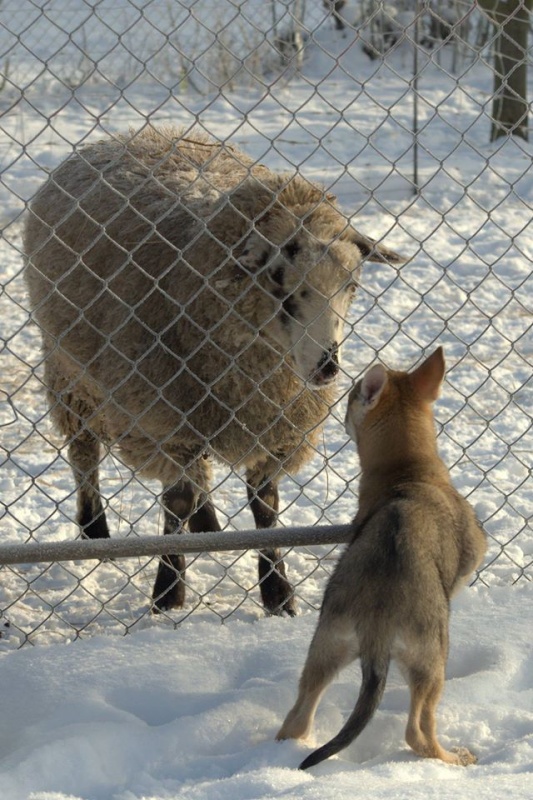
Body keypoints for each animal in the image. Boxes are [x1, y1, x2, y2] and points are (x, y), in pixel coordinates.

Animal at [21, 125, 404, 616]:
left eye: (351, 284)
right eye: (278, 280)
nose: (327, 368)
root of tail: (131, 132)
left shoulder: (273, 425)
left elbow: (265, 506)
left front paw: (277, 593)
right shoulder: (165, 419)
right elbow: (176, 501)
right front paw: (168, 593)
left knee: (196, 472)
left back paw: (208, 526)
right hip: (69, 370)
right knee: (84, 451)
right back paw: (95, 533)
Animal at [276, 348, 488, 768]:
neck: (409, 471)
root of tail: (378, 616)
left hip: (325, 646)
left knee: (296, 721)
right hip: (432, 659)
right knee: (418, 733)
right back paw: (454, 758)